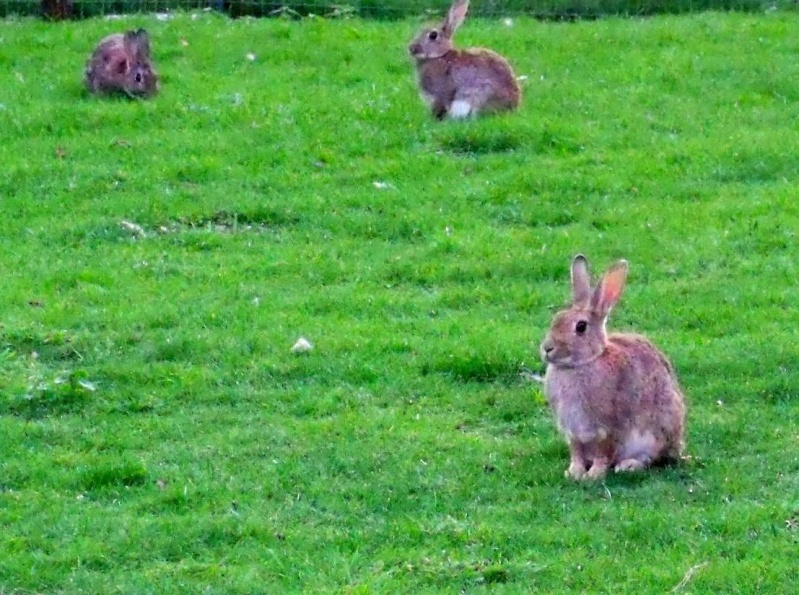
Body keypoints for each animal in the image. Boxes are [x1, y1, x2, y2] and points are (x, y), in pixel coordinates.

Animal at [536, 255, 688, 480]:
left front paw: (593, 476)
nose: (547, 348)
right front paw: (574, 472)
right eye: (556, 319)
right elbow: (576, 453)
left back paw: (628, 466)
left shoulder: (607, 429)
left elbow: (603, 454)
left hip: (659, 430)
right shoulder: (572, 432)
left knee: (651, 457)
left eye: (581, 327)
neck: (582, 364)